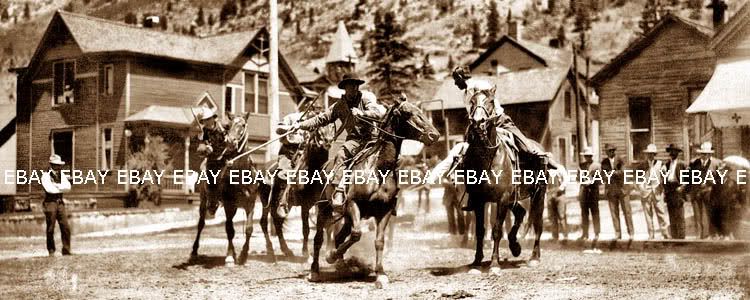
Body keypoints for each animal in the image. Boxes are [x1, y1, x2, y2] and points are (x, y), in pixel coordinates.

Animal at [189, 111, 262, 266]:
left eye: (243, 125)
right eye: (230, 125)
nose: (231, 141)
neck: (241, 175)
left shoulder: (250, 204)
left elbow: (249, 229)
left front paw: (243, 255)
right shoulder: (229, 205)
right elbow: (229, 230)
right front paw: (229, 256)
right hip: (203, 200)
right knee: (201, 224)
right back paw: (194, 252)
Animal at [262, 123, 338, 258]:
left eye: (332, 127)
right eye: (319, 129)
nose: (327, 141)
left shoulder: (322, 204)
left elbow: (328, 226)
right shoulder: (305, 205)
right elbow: (306, 229)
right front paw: (305, 252)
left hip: (285, 205)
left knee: (277, 222)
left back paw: (286, 250)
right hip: (266, 203)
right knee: (265, 223)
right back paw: (271, 249)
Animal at [310, 98, 444, 286]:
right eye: (408, 113)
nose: (434, 135)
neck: (377, 169)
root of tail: (324, 166)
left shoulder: (385, 210)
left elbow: (379, 241)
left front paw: (381, 274)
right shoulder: (353, 204)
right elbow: (357, 234)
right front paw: (330, 256)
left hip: (346, 216)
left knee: (339, 236)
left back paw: (342, 265)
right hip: (323, 209)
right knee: (318, 239)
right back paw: (315, 270)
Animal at [462, 80, 548, 270]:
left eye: (490, 102)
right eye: (472, 101)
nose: (478, 121)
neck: (488, 158)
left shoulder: (501, 199)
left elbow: (496, 231)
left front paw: (494, 263)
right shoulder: (479, 200)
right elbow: (480, 231)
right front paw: (477, 261)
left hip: (538, 195)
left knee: (537, 224)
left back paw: (535, 257)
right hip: (513, 198)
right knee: (521, 213)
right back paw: (515, 246)